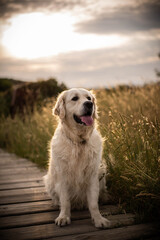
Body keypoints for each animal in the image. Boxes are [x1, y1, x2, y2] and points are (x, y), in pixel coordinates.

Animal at [43, 87, 110, 228]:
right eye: (74, 98)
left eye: (89, 98)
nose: (89, 104)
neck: (79, 142)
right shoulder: (62, 176)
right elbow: (65, 201)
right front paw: (64, 217)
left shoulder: (92, 175)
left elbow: (93, 203)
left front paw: (98, 219)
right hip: (49, 180)